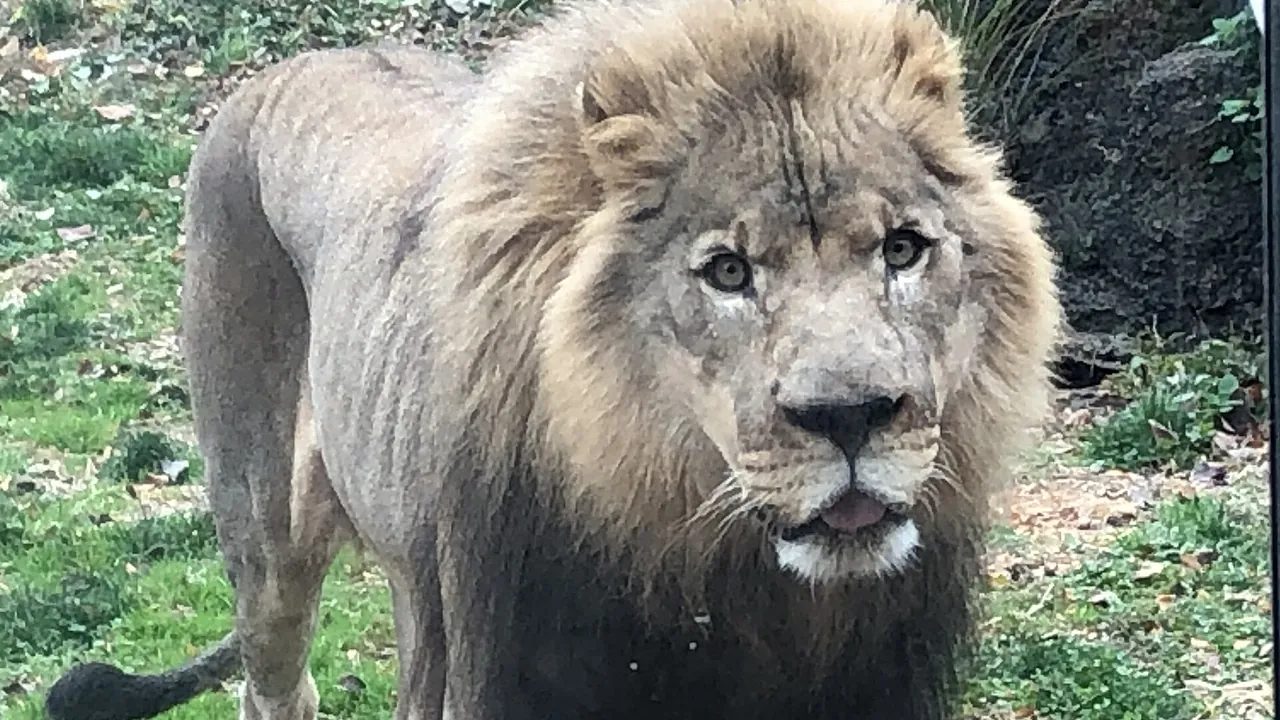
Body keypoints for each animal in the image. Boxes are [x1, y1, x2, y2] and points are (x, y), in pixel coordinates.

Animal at [43, 0, 1062, 717]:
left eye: (902, 249)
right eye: (729, 272)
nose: (851, 415)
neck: (729, 581)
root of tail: (279, 71)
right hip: (263, 539)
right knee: (277, 680)